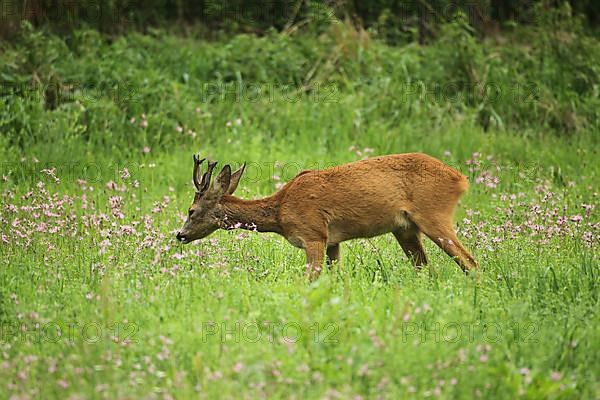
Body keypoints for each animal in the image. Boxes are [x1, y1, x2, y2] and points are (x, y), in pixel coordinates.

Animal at [177, 153, 478, 278]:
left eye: (191, 210)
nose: (179, 235)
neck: (280, 211)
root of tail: (461, 179)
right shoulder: (333, 241)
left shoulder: (313, 234)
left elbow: (311, 279)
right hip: (404, 228)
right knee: (427, 269)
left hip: (434, 214)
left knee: (470, 262)